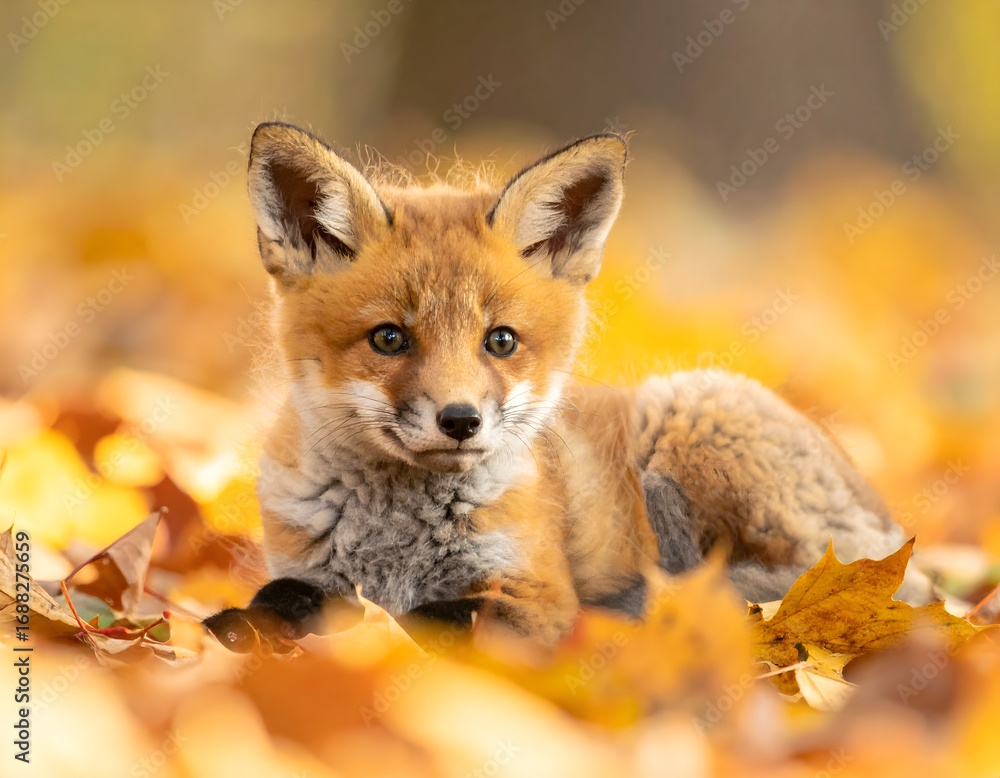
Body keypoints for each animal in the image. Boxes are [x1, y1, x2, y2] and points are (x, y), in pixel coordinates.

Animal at [205, 122, 933, 650]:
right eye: (388, 339)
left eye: (500, 341)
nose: (460, 420)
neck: (395, 540)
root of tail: (896, 544)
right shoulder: (305, 568)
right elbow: (278, 599)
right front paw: (230, 630)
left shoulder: (535, 595)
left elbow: (424, 619)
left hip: (688, 412)